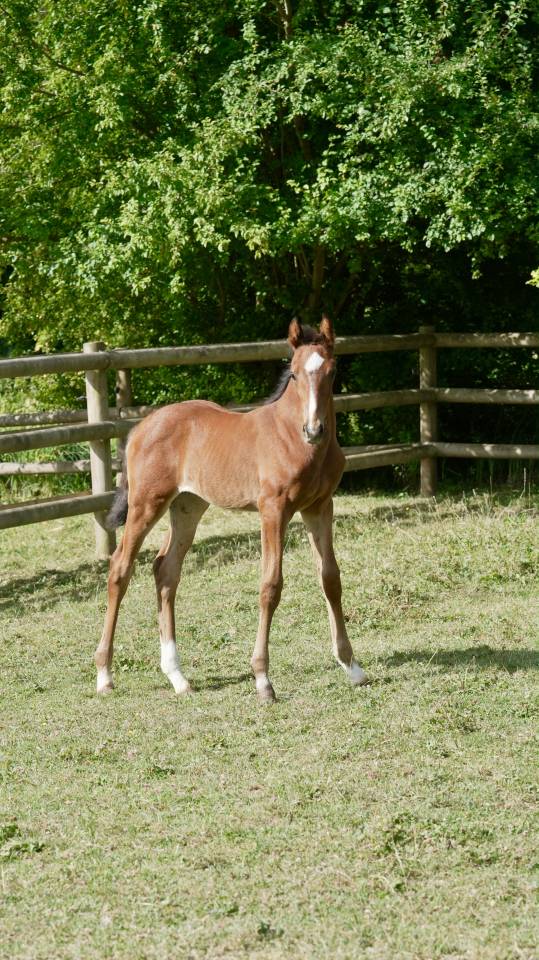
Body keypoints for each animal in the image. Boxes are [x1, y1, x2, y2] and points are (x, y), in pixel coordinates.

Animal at [95, 316, 367, 702]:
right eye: (294, 373)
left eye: (332, 371)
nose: (313, 429)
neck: (295, 440)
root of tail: (139, 429)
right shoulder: (274, 510)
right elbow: (270, 586)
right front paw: (263, 680)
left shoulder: (319, 506)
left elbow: (330, 578)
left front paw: (352, 667)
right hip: (146, 503)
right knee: (120, 567)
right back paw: (104, 674)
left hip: (188, 506)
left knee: (166, 570)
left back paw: (178, 677)